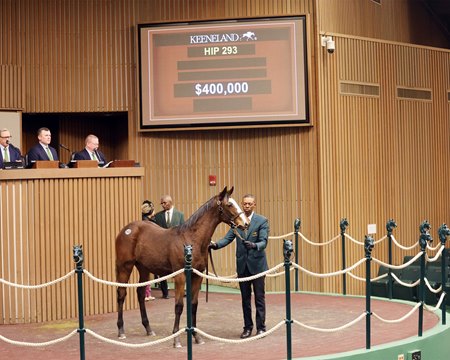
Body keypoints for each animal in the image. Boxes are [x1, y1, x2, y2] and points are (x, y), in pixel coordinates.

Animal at [114, 186, 248, 346]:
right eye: (229, 204)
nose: (245, 223)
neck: (191, 239)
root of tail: (126, 230)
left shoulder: (197, 275)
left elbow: (194, 305)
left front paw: (196, 336)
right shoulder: (180, 276)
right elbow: (179, 306)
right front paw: (176, 338)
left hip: (144, 268)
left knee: (140, 293)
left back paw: (148, 328)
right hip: (124, 267)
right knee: (121, 294)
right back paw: (121, 331)